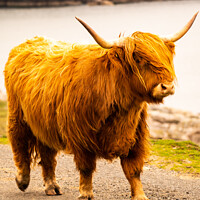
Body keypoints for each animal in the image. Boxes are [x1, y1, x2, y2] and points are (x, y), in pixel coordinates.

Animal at [3, 12, 198, 200]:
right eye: (138, 58)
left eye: (164, 56)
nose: (167, 86)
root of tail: (28, 43)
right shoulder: (81, 136)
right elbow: (86, 167)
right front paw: (86, 193)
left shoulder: (136, 135)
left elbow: (133, 169)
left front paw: (140, 195)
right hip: (17, 115)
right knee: (19, 143)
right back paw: (22, 180)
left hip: (44, 122)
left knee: (47, 153)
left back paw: (51, 186)